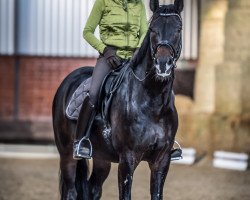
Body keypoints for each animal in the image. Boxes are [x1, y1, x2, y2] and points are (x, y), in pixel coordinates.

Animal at [52, 0, 184, 199]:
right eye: (152, 29)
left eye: (179, 29)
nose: (163, 64)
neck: (152, 102)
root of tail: (69, 79)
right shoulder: (127, 159)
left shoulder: (162, 160)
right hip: (67, 155)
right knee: (71, 192)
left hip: (101, 158)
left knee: (93, 189)